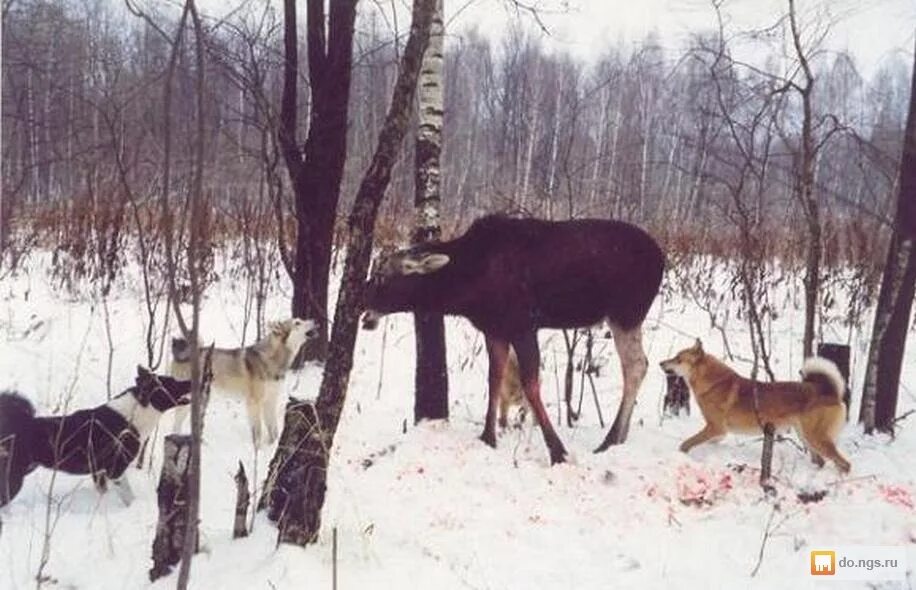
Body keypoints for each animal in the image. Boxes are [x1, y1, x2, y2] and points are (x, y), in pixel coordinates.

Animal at [0, 366, 191, 508]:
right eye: (172, 382)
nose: (190, 381)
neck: (134, 414)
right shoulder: (115, 470)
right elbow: (128, 496)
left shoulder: (99, 472)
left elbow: (103, 491)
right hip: (14, 477)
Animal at [170, 320, 320, 448]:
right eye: (297, 322)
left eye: (301, 320)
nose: (314, 321)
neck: (271, 359)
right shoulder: (254, 403)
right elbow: (258, 431)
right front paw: (257, 450)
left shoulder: (270, 401)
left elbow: (274, 430)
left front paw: (273, 446)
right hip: (187, 400)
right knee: (176, 421)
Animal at [360, 215, 664, 464]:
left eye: (382, 276)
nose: (362, 304)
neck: (466, 289)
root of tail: (662, 258)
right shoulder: (495, 329)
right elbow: (495, 378)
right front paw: (488, 436)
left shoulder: (523, 326)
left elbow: (530, 384)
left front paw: (558, 451)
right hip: (625, 317)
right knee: (639, 365)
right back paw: (619, 437)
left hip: (626, 313)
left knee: (636, 366)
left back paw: (610, 439)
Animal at [660, 340, 852, 474]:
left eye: (678, 359)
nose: (661, 363)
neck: (713, 382)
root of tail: (829, 392)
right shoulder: (717, 432)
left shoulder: (715, 428)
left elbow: (687, 443)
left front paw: (681, 454)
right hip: (807, 437)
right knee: (823, 461)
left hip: (816, 438)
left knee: (845, 464)